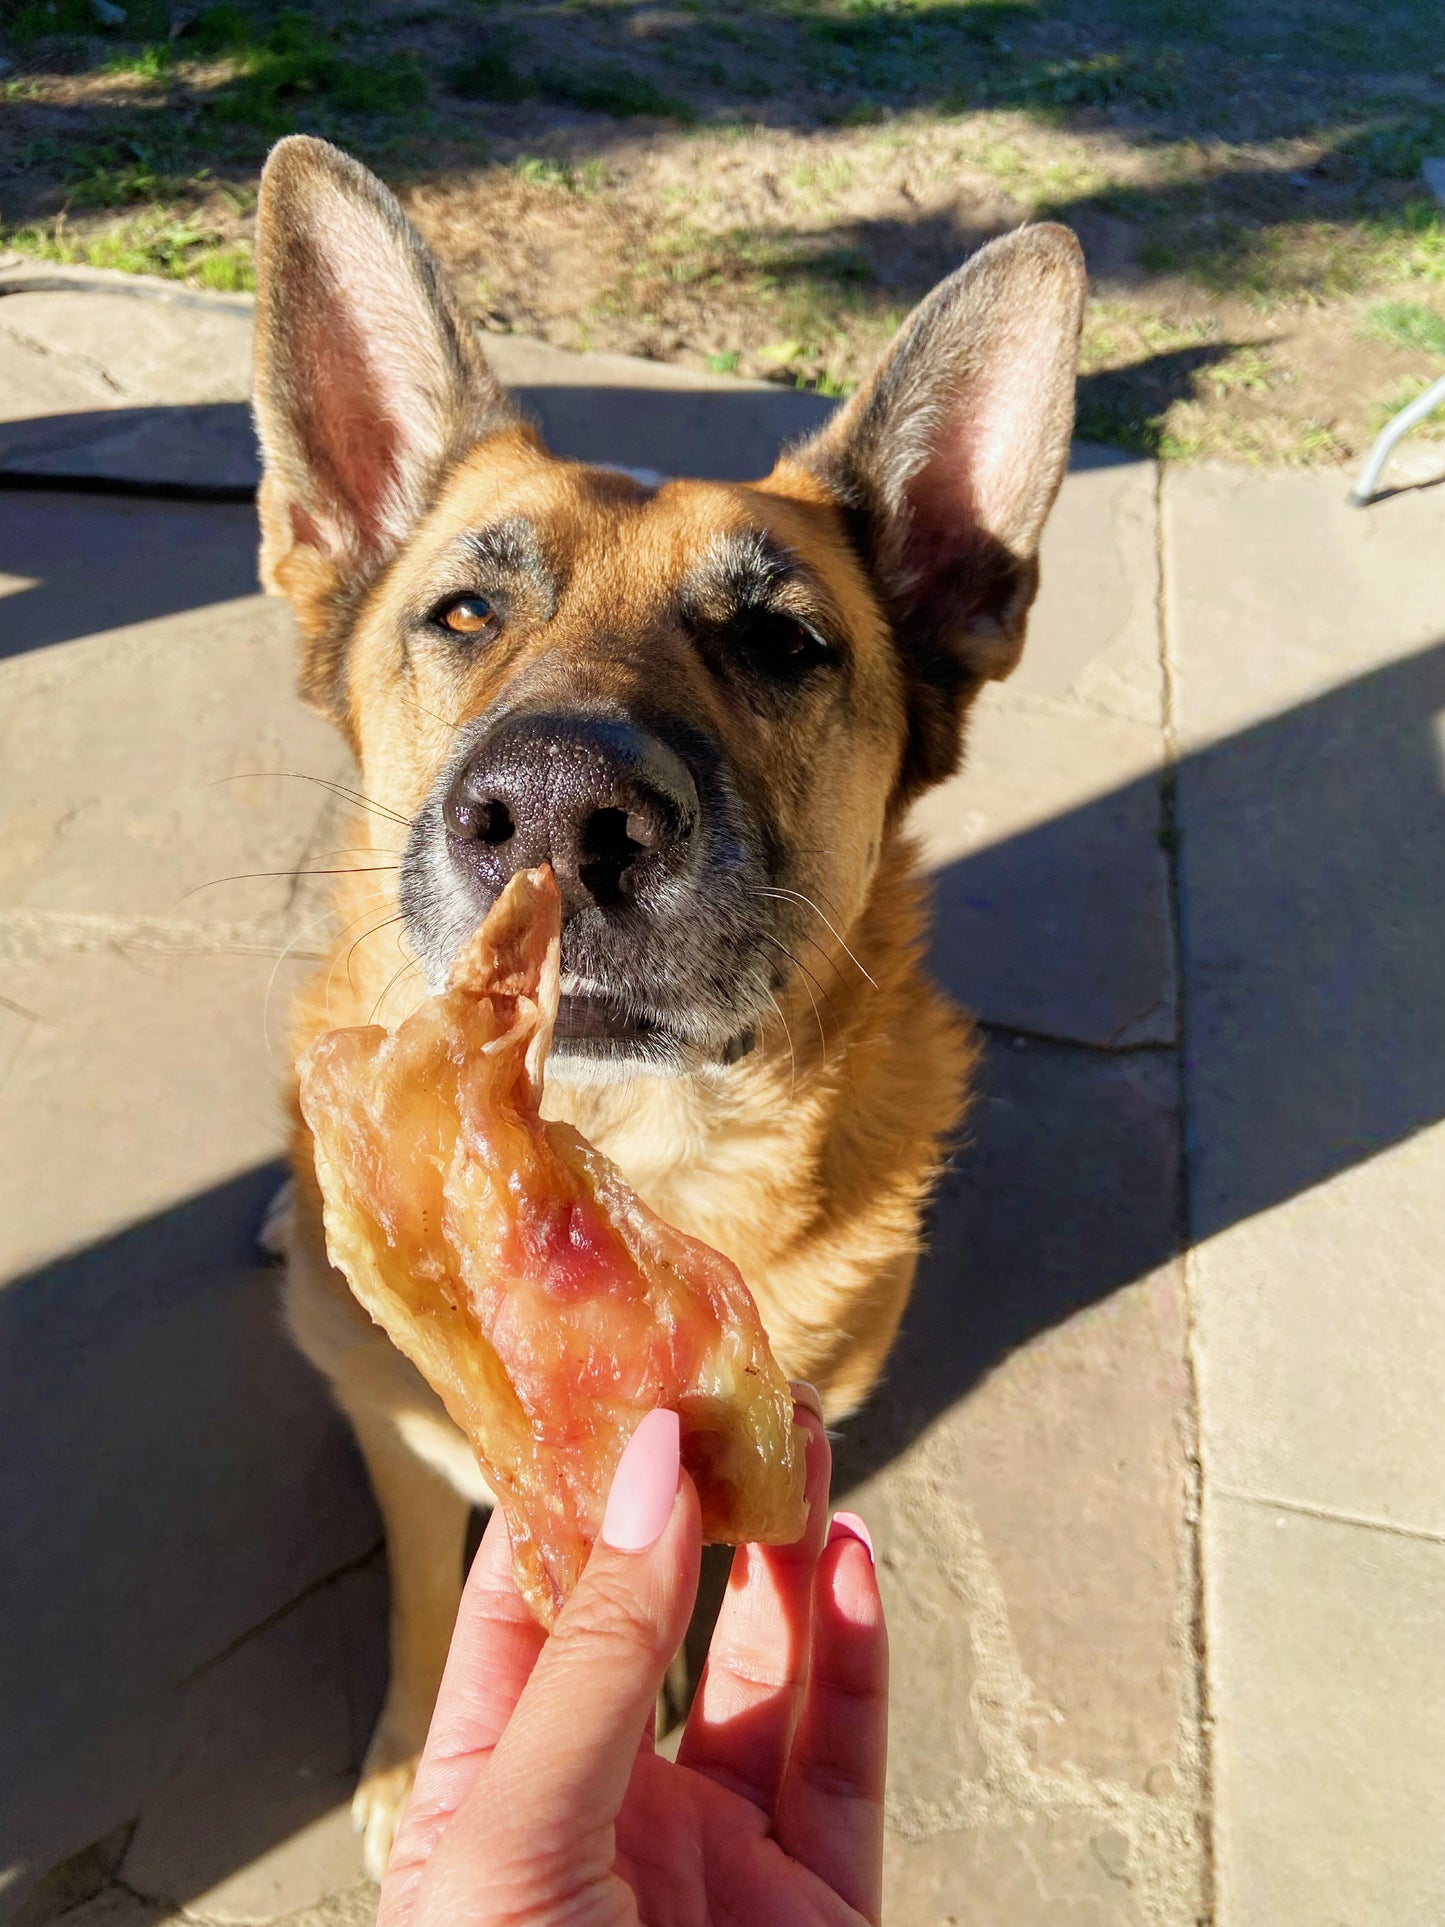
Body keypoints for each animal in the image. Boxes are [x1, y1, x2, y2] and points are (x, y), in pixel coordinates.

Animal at [252, 131, 1086, 1865]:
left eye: (780, 639)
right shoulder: (394, 1429)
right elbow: (424, 1584)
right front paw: (417, 1747)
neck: (619, 1154)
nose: (561, 813)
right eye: (463, 613)